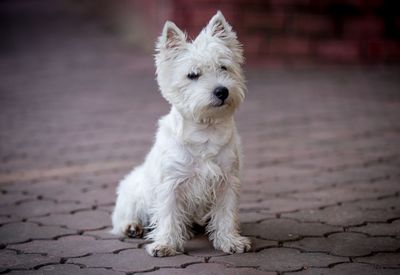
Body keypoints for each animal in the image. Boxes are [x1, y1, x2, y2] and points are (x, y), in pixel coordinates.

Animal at [111, 10, 250, 256]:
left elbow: (225, 214)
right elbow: (168, 215)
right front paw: (165, 244)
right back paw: (132, 227)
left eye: (223, 67)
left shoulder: (227, 181)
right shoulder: (171, 184)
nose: (222, 91)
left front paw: (230, 241)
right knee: (123, 217)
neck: (206, 128)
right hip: (134, 191)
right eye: (192, 75)